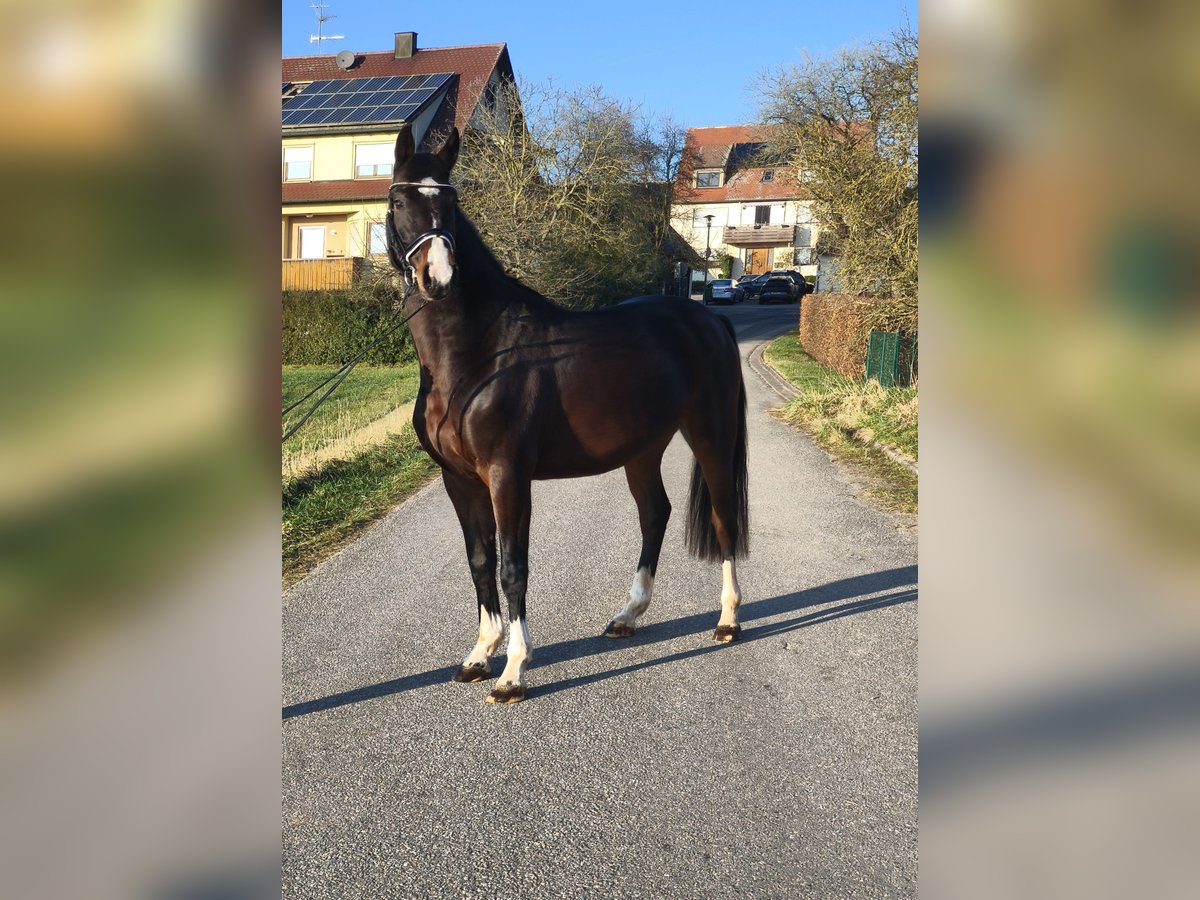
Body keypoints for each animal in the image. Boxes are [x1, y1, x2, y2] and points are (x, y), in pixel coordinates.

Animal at [388, 125, 744, 705]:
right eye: (399, 201)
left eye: (451, 202)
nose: (436, 276)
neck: (480, 353)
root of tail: (709, 319)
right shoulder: (458, 479)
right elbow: (480, 561)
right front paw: (479, 655)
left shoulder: (507, 476)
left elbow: (514, 568)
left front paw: (513, 670)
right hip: (643, 448)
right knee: (656, 513)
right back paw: (628, 615)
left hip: (710, 435)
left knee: (723, 516)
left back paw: (729, 619)